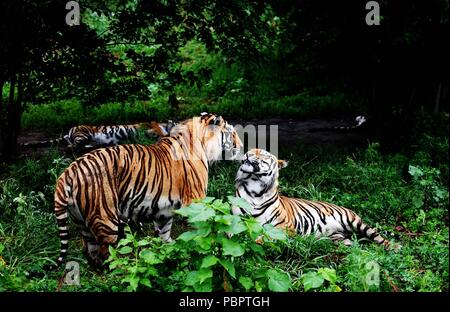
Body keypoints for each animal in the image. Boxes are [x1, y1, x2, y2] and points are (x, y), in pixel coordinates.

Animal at [53, 113, 243, 266]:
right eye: (232, 133)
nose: (241, 146)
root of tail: (69, 172)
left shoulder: (164, 211)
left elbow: (164, 233)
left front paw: (171, 253)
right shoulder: (195, 200)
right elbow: (202, 230)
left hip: (81, 221)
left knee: (89, 251)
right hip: (105, 218)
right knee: (107, 254)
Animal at [234, 149, 396, 249]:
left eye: (262, 153)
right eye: (251, 150)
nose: (247, 154)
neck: (255, 189)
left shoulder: (284, 227)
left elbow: (266, 236)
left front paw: (254, 241)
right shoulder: (237, 218)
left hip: (356, 222)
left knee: (377, 236)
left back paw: (394, 247)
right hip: (338, 237)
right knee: (354, 248)